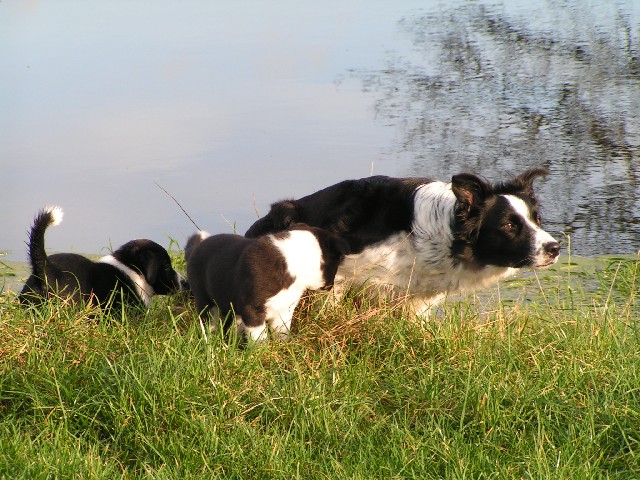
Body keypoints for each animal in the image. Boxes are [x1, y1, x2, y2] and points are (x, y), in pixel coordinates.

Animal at [185, 225, 348, 342]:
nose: (330, 286)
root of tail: (196, 248)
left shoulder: (284, 309)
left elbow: (282, 332)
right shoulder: (253, 309)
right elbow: (259, 337)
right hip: (205, 299)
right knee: (209, 320)